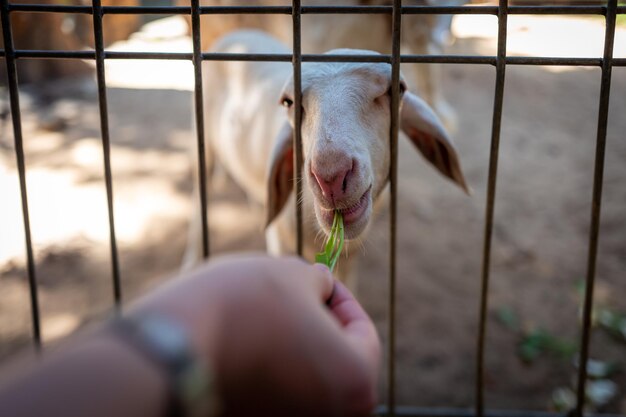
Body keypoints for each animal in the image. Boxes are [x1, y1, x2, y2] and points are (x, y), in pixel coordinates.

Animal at [183, 30, 466, 288]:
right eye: (288, 102)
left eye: (398, 89)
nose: (330, 175)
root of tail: (234, 34)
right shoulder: (281, 242)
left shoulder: (349, 255)